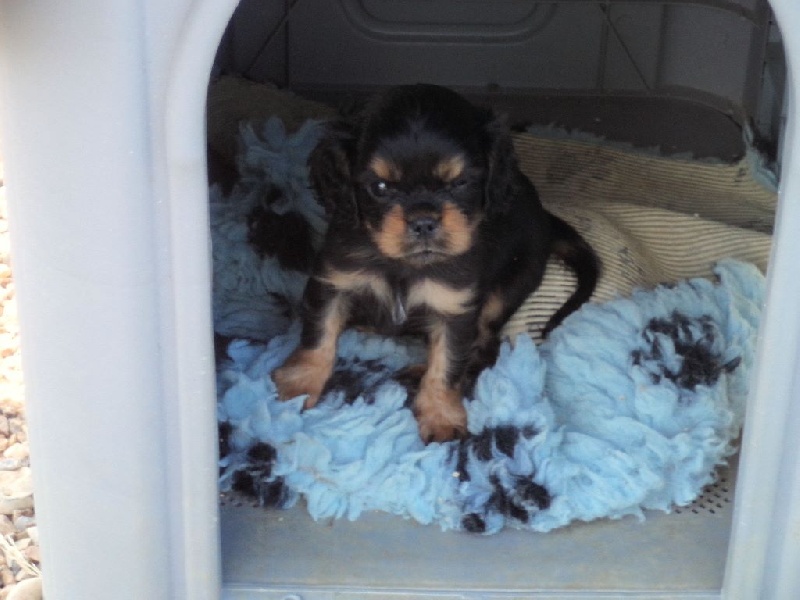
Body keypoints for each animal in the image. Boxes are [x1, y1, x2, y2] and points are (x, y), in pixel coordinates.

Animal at [272, 84, 599, 443]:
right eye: (380, 187)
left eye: (459, 183)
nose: (424, 221)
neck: (403, 264)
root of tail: (546, 218)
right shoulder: (334, 281)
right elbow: (318, 336)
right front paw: (300, 386)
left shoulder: (454, 306)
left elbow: (447, 363)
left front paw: (440, 415)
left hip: (505, 291)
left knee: (485, 347)